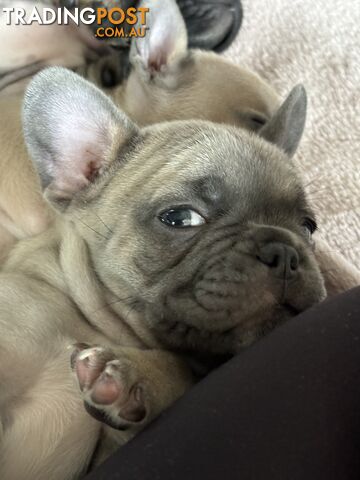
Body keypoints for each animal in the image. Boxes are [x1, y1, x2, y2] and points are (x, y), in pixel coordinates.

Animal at [0, 64, 326, 480]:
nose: (284, 252)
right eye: (181, 218)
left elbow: (177, 369)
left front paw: (139, 375)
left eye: (308, 227)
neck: (85, 323)